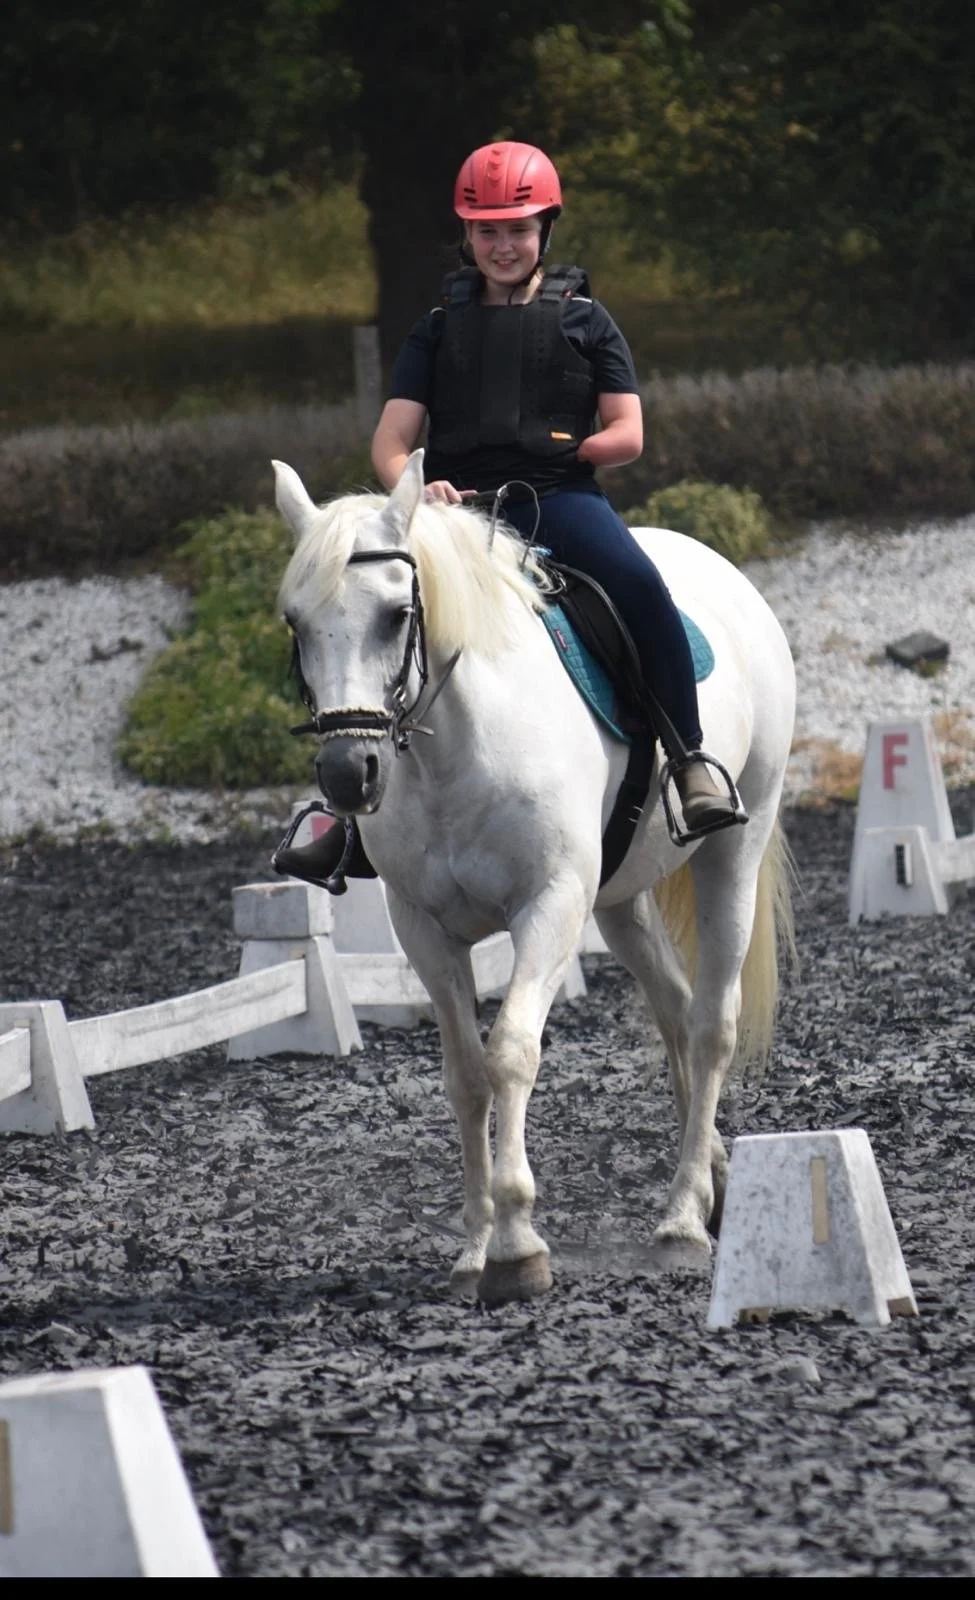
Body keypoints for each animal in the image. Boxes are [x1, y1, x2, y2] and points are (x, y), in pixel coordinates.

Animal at [273, 449, 797, 1305]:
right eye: (294, 621)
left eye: (396, 614)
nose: (349, 775)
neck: (455, 747)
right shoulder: (422, 929)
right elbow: (464, 1075)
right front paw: (474, 1247)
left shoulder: (548, 907)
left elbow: (512, 1052)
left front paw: (518, 1244)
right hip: (617, 898)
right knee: (675, 1010)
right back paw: (710, 1178)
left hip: (730, 855)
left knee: (711, 1023)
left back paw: (682, 1221)